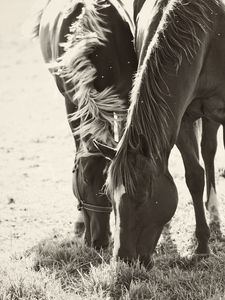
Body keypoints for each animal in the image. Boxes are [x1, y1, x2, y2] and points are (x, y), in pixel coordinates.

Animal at [95, 0, 225, 264]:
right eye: (109, 196)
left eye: (142, 196)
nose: (123, 259)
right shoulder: (181, 120)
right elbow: (194, 176)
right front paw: (202, 246)